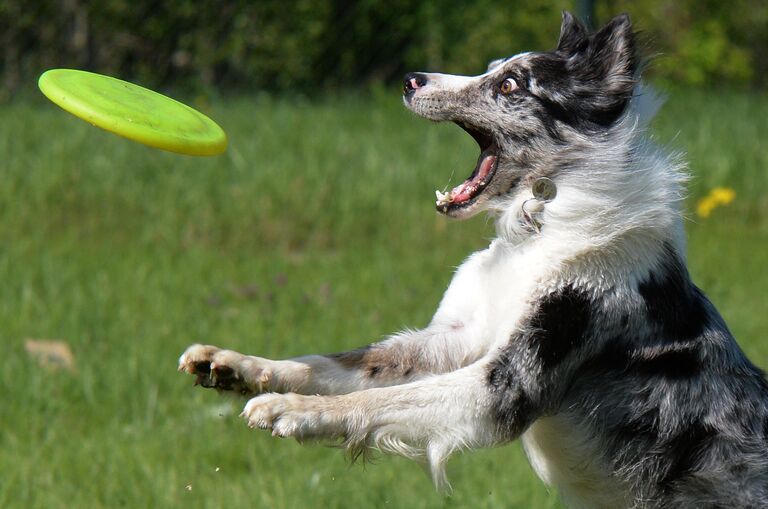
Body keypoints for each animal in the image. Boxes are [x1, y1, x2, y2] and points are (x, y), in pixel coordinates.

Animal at [180, 11, 768, 508]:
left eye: (509, 85)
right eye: (490, 69)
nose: (410, 79)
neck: (539, 226)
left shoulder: (503, 385)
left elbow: (379, 402)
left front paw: (293, 410)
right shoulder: (454, 338)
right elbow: (340, 365)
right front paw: (237, 365)